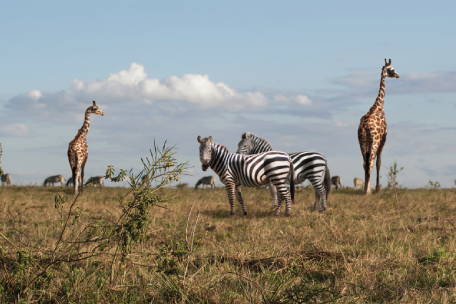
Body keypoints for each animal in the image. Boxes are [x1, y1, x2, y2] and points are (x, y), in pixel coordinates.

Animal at [360, 59, 400, 195]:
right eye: (391, 69)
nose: (398, 75)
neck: (378, 105)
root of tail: (365, 126)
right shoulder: (384, 138)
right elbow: (379, 162)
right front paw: (377, 188)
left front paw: (370, 187)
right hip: (375, 140)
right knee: (371, 161)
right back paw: (368, 191)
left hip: (362, 141)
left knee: (365, 162)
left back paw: (366, 189)